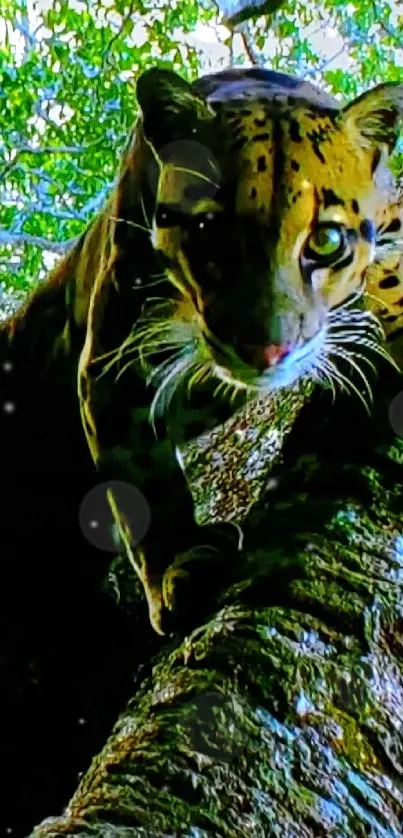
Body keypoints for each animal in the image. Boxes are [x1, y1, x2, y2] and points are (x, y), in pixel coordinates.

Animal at [2, 66, 403, 641]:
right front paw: (180, 565)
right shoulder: (114, 362)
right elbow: (146, 486)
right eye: (208, 231)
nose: (267, 350)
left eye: (325, 241)